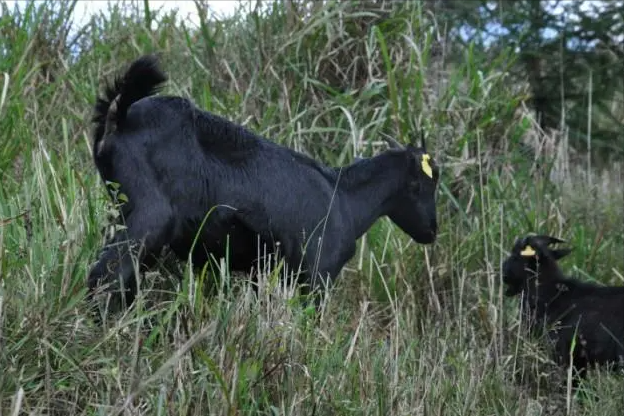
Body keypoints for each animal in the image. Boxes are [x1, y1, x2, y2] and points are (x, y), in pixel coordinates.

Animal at [86, 55, 438, 316]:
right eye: (423, 184)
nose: (432, 230)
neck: (345, 197)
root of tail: (120, 115)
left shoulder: (265, 272)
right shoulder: (317, 273)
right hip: (149, 219)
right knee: (104, 275)